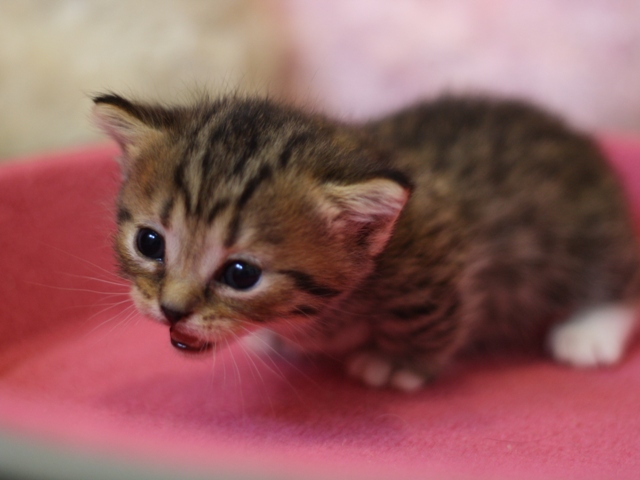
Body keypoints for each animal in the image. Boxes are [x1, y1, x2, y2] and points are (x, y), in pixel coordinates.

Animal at [91, 93, 640, 390]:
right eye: (149, 242)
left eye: (241, 275)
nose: (171, 309)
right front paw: (274, 339)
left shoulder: (438, 258)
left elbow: (430, 319)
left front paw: (398, 362)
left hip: (588, 235)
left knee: (619, 281)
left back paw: (589, 330)